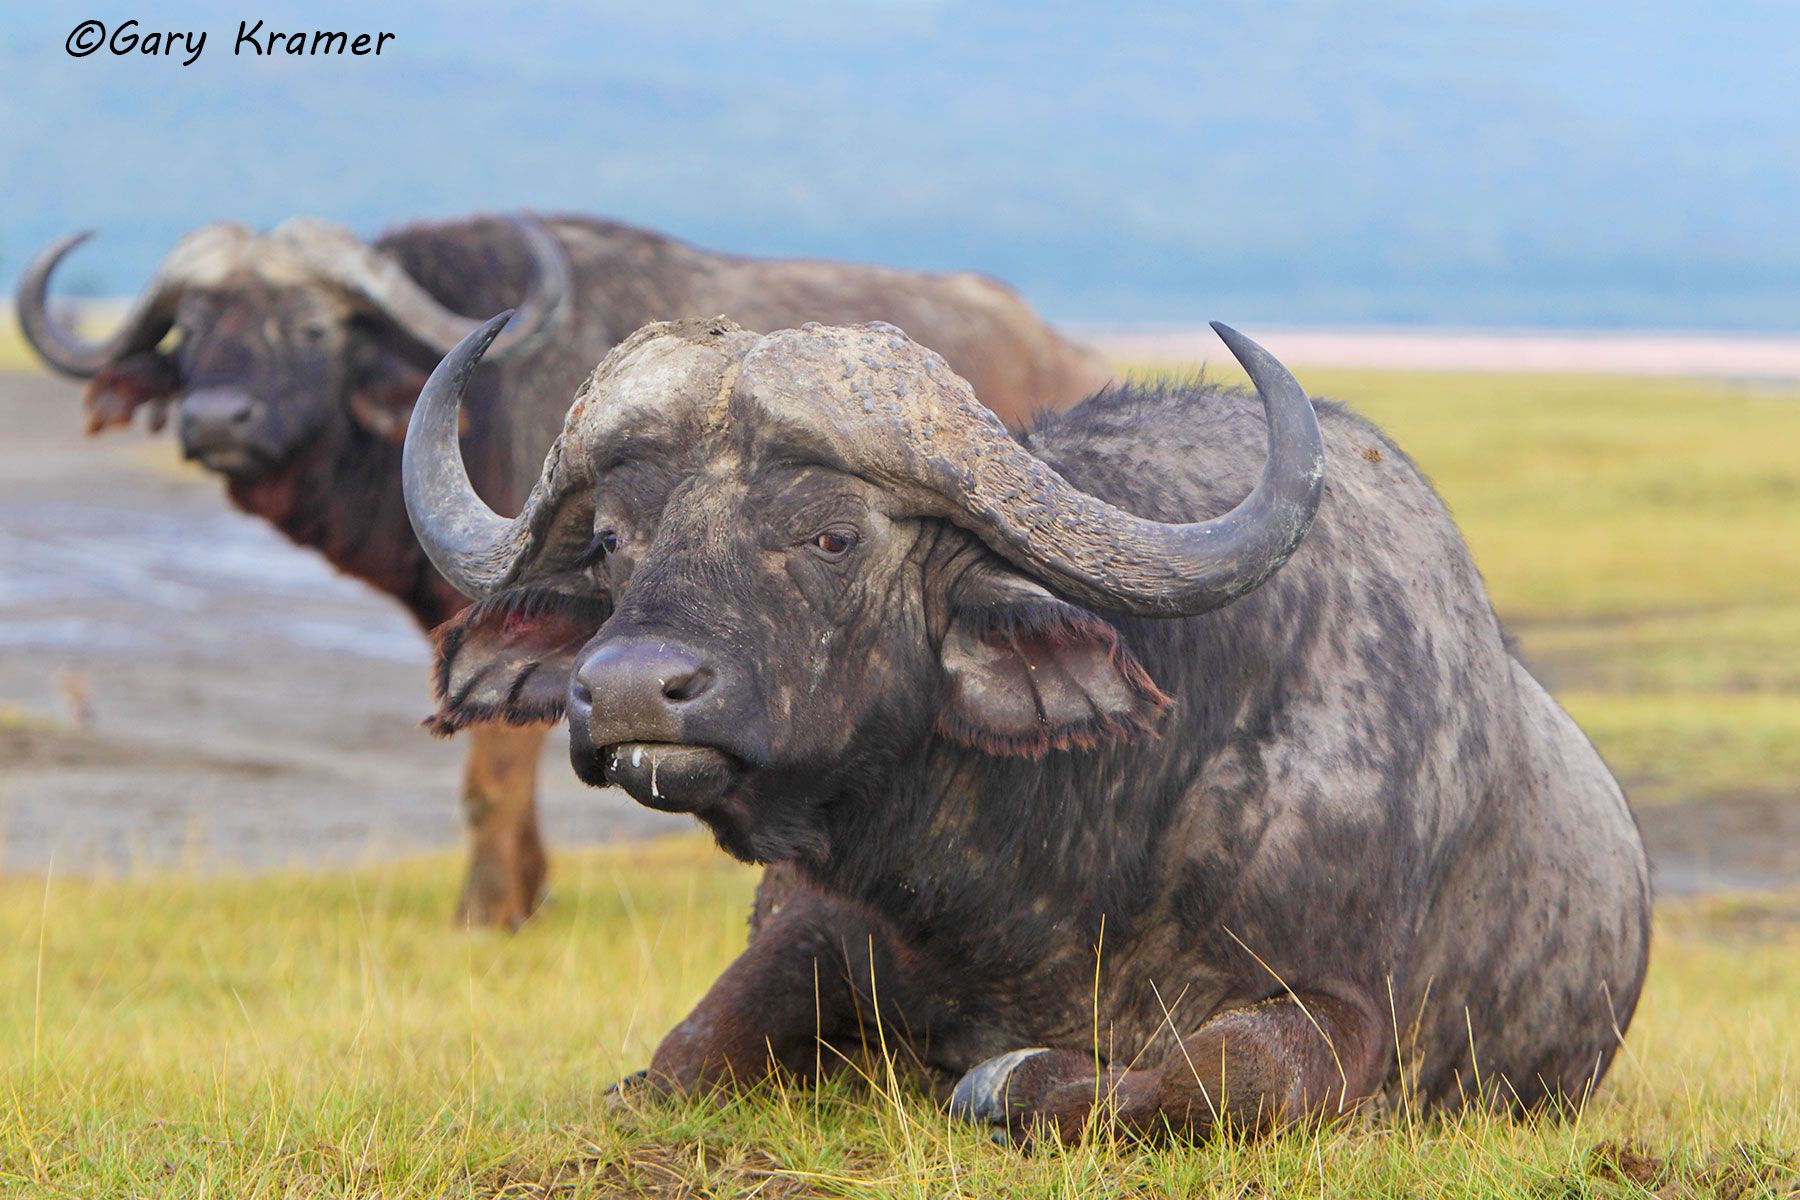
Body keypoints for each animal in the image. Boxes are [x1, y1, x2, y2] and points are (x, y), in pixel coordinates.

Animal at [16, 213, 1112, 927]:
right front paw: (525, 891)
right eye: (193, 328)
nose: (215, 420)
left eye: (312, 327)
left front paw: (490, 910)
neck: (480, 402)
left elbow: (490, 778)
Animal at [401, 312, 1651, 1139]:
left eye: (831, 536)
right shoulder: (814, 926)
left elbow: (1213, 1083)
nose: (622, 689)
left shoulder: (1343, 1009)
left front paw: (1002, 1081)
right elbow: (673, 1064)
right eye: (614, 540)